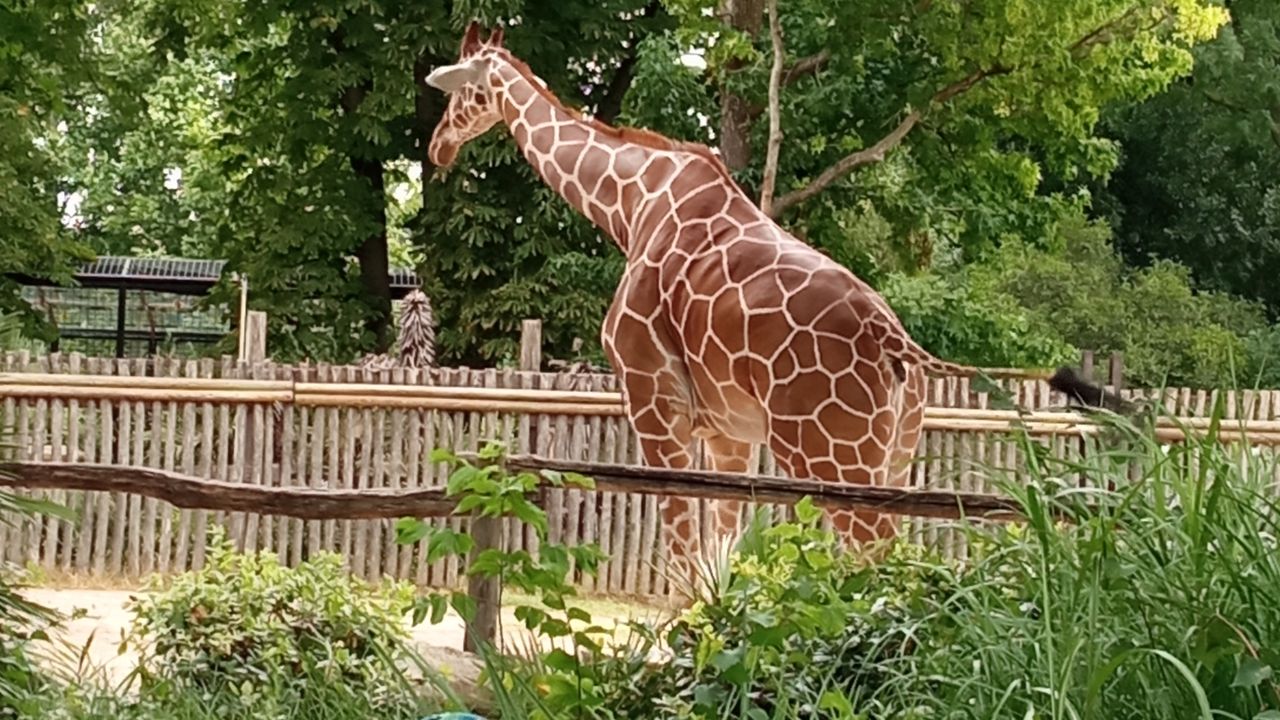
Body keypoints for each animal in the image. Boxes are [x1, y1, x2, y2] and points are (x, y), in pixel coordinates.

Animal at [423, 22, 1113, 596]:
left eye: (457, 92)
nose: (437, 147)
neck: (629, 206)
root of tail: (896, 342)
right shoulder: (728, 430)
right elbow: (720, 554)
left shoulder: (654, 401)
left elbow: (683, 553)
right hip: (893, 450)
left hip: (830, 454)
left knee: (875, 556)